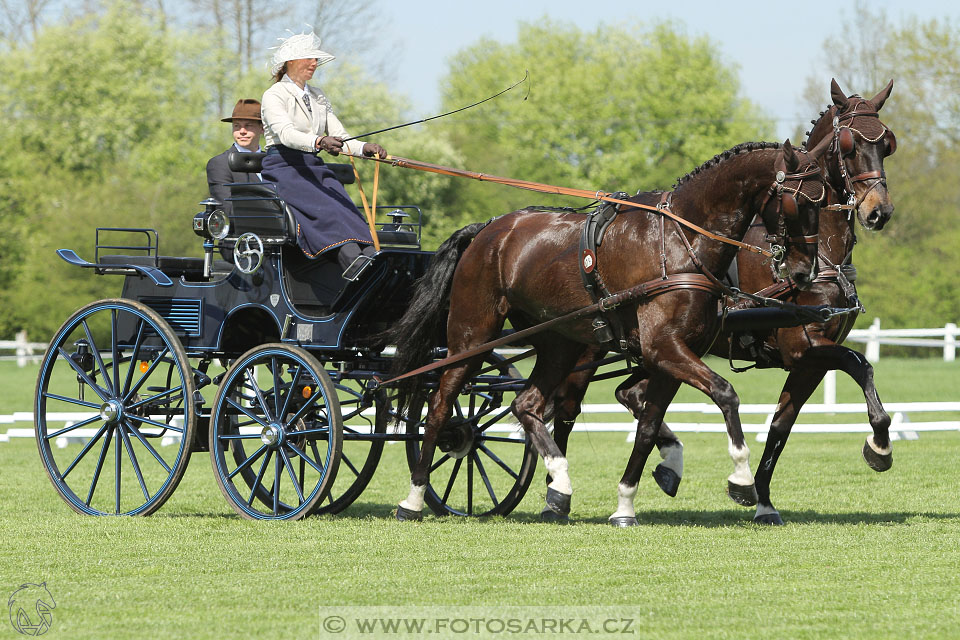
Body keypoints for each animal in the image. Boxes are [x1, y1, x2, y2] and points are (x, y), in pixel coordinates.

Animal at [388, 139, 824, 520]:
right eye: (800, 201)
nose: (805, 272)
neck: (681, 241)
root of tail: (488, 230)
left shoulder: (672, 356)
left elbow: (648, 428)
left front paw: (625, 505)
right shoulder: (663, 349)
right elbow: (726, 394)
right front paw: (741, 479)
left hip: (559, 345)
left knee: (526, 404)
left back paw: (560, 486)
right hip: (472, 336)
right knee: (440, 404)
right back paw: (414, 497)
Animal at [552, 77, 896, 524]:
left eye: (887, 142)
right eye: (851, 144)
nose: (879, 211)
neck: (821, 256)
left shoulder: (809, 362)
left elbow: (783, 426)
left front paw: (763, 500)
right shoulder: (804, 348)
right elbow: (858, 363)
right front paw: (879, 446)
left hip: (656, 348)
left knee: (630, 395)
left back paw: (664, 466)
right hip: (589, 350)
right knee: (565, 408)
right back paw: (555, 491)